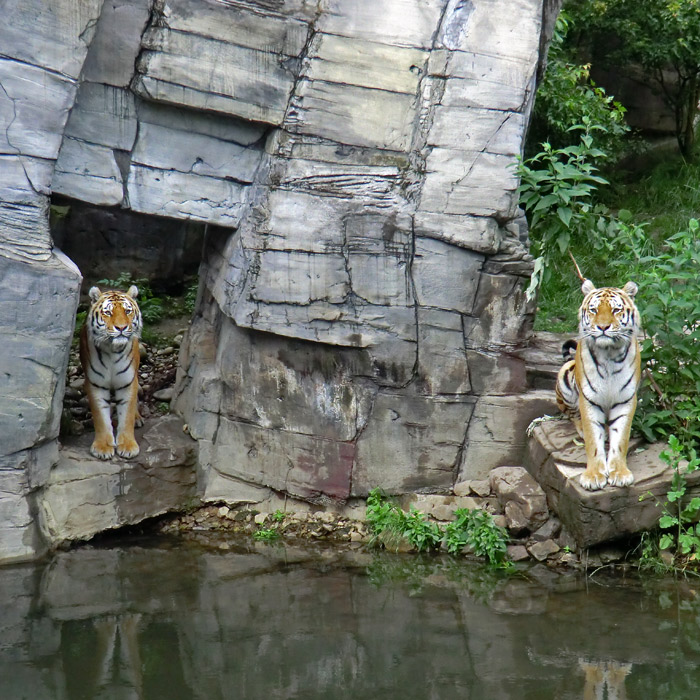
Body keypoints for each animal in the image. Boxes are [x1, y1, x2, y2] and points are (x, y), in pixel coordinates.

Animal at [80, 284, 143, 460]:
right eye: (108, 312)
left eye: (127, 311)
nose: (121, 328)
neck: (112, 351)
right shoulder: (96, 384)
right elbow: (101, 417)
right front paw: (103, 447)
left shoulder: (128, 383)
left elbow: (127, 414)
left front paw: (128, 446)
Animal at [556, 278, 644, 492]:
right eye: (594, 310)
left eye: (615, 310)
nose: (603, 327)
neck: (609, 353)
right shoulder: (589, 399)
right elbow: (592, 439)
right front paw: (594, 476)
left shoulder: (626, 399)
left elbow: (621, 438)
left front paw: (619, 473)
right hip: (565, 377)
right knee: (571, 414)